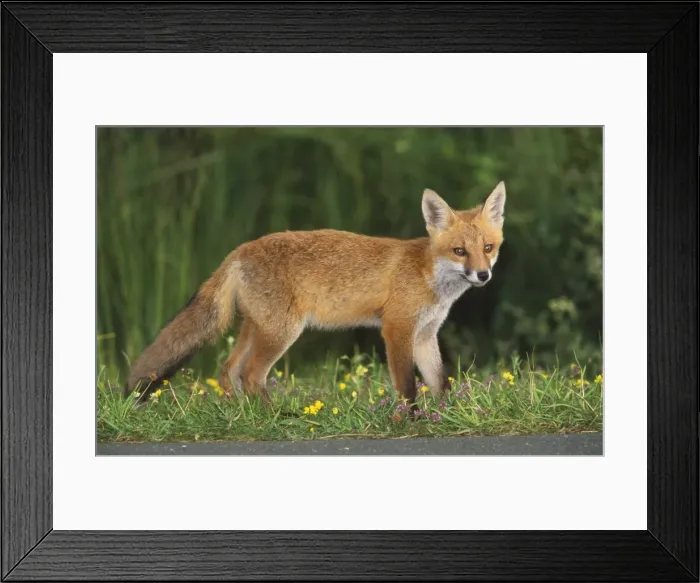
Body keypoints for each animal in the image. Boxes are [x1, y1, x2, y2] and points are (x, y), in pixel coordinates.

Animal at [125, 181, 506, 405]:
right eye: (459, 251)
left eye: (488, 248)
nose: (483, 275)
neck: (428, 276)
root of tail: (240, 250)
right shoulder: (397, 329)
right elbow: (407, 385)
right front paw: (408, 419)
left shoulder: (425, 335)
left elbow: (439, 382)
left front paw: (447, 413)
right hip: (282, 332)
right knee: (251, 375)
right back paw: (273, 417)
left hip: (256, 327)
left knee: (227, 370)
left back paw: (240, 414)